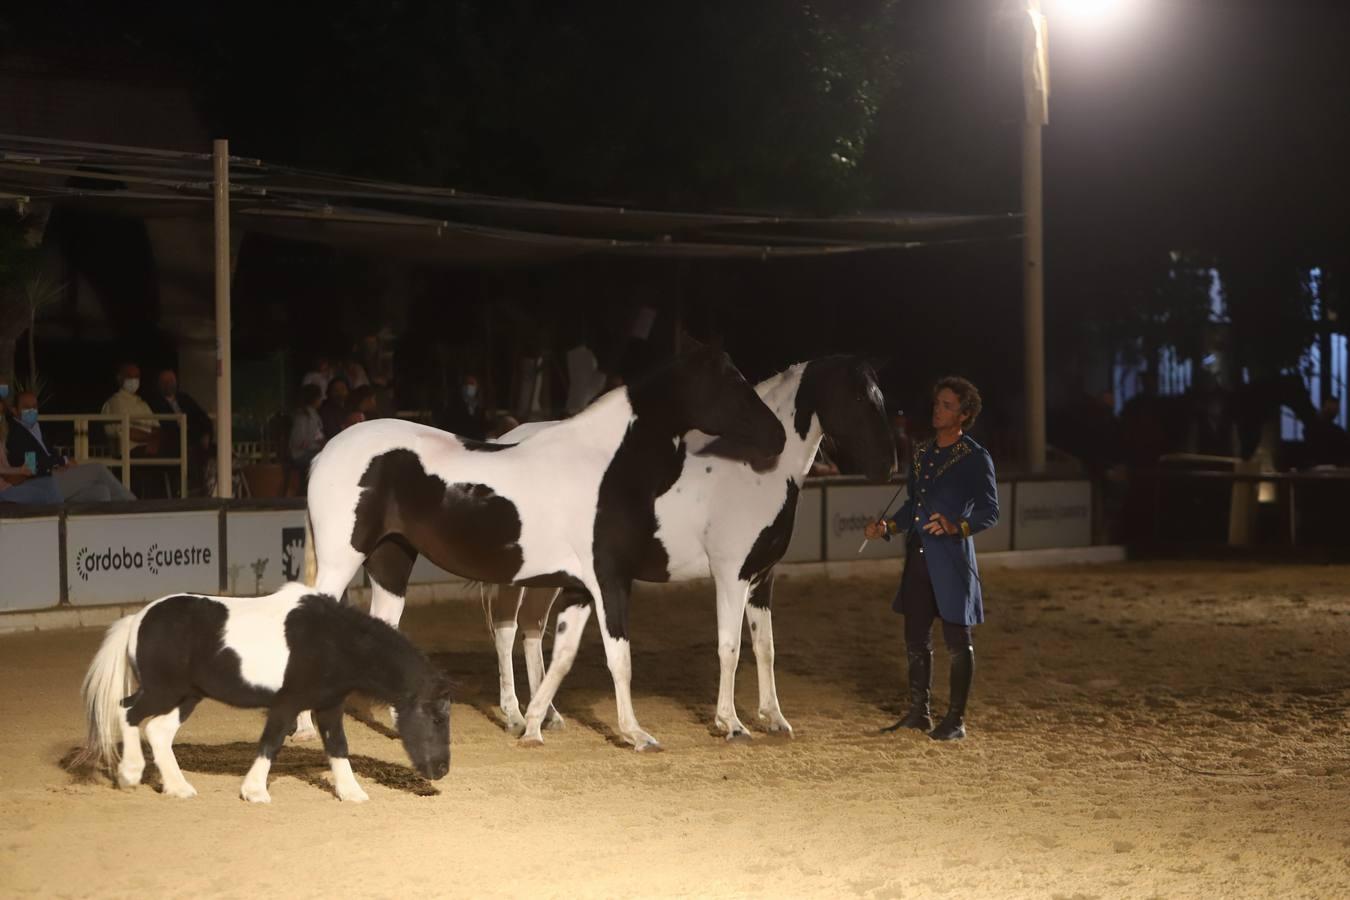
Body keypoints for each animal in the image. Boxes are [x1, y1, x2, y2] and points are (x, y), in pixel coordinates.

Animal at [84, 585, 453, 804]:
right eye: (435, 718)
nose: (441, 769)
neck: (333, 640)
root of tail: (137, 619)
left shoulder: (329, 706)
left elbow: (337, 747)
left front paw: (352, 793)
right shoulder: (287, 703)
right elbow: (271, 742)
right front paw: (255, 791)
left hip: (187, 695)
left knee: (158, 731)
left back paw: (178, 788)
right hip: (163, 690)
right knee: (128, 712)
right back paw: (130, 773)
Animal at [295, 345, 783, 755]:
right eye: (731, 382)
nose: (777, 435)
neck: (605, 464)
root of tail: (325, 454)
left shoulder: (580, 589)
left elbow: (561, 658)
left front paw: (532, 725)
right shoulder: (609, 581)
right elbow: (619, 658)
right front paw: (637, 734)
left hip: (391, 563)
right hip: (343, 561)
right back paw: (303, 729)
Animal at [483, 356, 896, 744]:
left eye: (880, 395)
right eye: (858, 397)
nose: (888, 466)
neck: (754, 470)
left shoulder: (762, 578)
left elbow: (765, 647)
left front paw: (774, 719)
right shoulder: (732, 576)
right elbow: (730, 648)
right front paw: (731, 724)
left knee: (532, 629)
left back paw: (546, 715)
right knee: (506, 631)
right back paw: (516, 716)